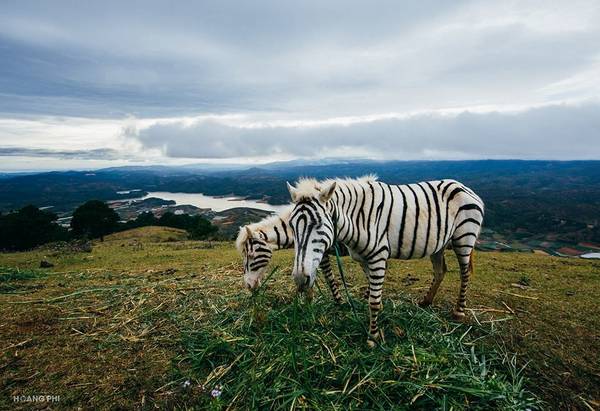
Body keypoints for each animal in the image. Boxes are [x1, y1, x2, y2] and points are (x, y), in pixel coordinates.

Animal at [284, 175, 482, 346]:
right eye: (291, 225)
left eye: (317, 224)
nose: (300, 279)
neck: (358, 218)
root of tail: (461, 185)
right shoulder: (364, 259)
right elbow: (374, 293)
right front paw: (377, 321)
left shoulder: (378, 255)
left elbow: (373, 300)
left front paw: (373, 337)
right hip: (438, 244)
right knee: (440, 271)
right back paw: (425, 302)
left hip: (464, 237)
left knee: (464, 273)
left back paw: (459, 311)